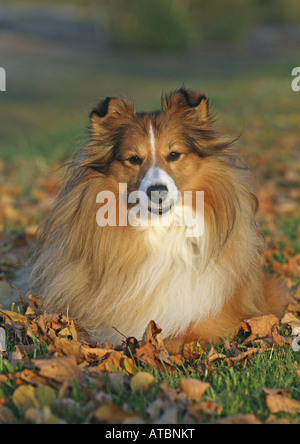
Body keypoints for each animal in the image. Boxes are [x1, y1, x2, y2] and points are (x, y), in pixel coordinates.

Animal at [29, 88, 288, 352]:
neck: (162, 231)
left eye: (174, 154)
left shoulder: (214, 324)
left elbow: (180, 337)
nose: (157, 191)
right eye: (134, 158)